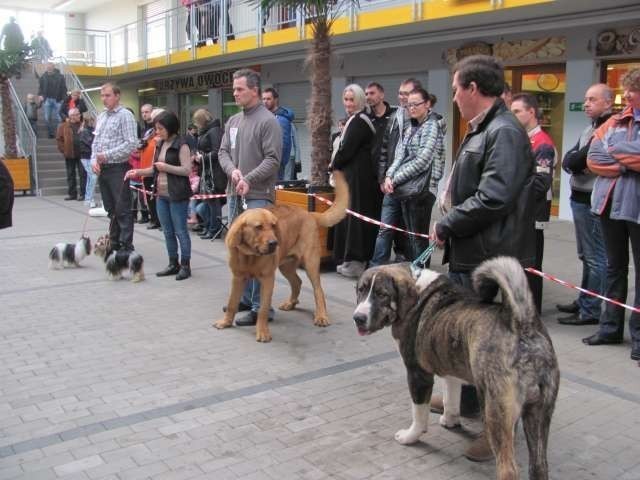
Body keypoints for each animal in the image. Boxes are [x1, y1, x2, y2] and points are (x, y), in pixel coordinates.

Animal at [212, 169, 348, 342]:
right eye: (258, 227)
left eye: (273, 226)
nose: (274, 243)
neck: (250, 254)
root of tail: (309, 214)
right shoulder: (238, 277)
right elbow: (231, 303)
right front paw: (226, 322)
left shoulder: (267, 280)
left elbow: (263, 310)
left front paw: (263, 332)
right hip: (286, 266)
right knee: (297, 282)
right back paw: (291, 303)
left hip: (310, 263)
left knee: (318, 290)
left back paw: (321, 316)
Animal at [352, 258, 556, 480]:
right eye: (361, 290)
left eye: (382, 294)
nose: (358, 318)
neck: (416, 290)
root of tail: (522, 324)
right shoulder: (450, 368)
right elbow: (451, 397)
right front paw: (450, 420)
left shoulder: (418, 374)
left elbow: (419, 412)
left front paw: (411, 436)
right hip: (540, 413)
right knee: (539, 465)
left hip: (495, 408)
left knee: (507, 468)